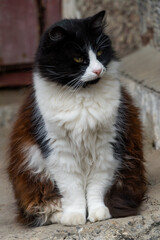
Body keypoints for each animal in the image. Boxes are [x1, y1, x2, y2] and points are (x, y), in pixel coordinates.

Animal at [8, 9, 147, 227]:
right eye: (79, 60)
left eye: (100, 53)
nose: (98, 70)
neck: (82, 95)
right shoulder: (59, 150)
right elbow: (72, 189)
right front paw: (75, 216)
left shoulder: (107, 145)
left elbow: (96, 187)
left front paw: (98, 213)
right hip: (32, 164)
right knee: (42, 205)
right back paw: (60, 215)